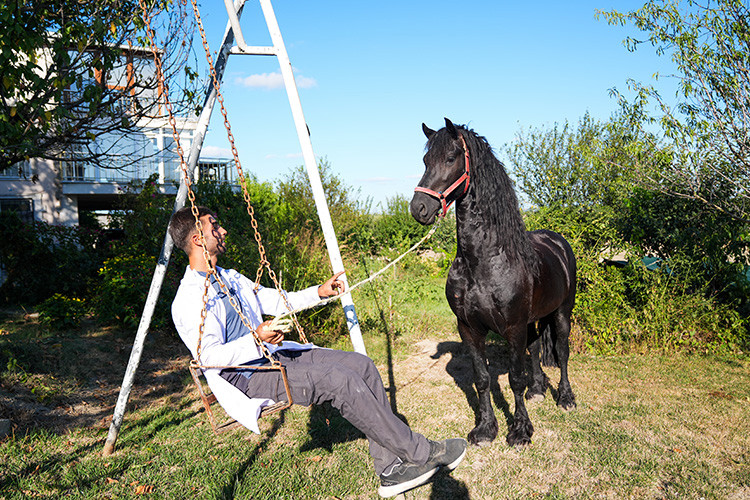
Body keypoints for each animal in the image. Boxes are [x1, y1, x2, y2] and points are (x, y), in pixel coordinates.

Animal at [414, 119, 580, 448]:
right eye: (426, 160)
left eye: (450, 158)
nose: (419, 208)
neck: (484, 262)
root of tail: (558, 242)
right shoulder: (469, 328)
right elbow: (482, 379)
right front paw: (485, 429)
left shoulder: (513, 327)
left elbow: (514, 379)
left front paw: (520, 430)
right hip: (533, 320)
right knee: (534, 348)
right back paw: (538, 390)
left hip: (561, 314)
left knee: (563, 351)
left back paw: (566, 398)